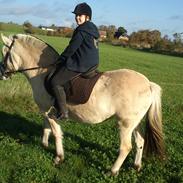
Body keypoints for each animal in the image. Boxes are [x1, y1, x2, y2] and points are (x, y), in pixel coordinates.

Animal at [0, 33, 165, 175]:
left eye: (4, 53)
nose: (2, 74)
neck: (43, 72)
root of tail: (148, 84)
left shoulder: (49, 112)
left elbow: (56, 133)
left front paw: (58, 158)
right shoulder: (45, 110)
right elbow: (46, 127)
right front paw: (44, 144)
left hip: (125, 124)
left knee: (125, 147)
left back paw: (112, 171)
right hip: (135, 123)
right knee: (140, 141)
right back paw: (137, 166)